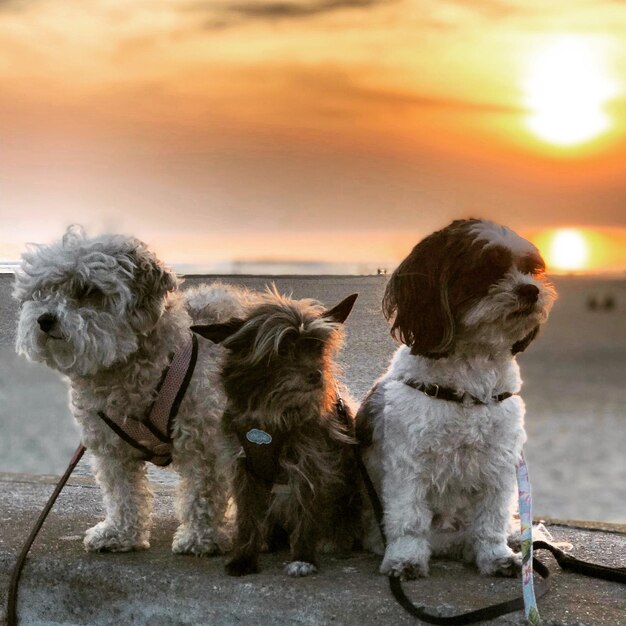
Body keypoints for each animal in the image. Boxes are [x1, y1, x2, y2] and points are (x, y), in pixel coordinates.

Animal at [14, 224, 258, 552]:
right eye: (42, 291)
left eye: (87, 290)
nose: (44, 319)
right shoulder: (112, 448)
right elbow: (122, 493)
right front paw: (120, 533)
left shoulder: (204, 441)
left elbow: (202, 491)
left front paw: (200, 537)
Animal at [195, 290, 360, 576]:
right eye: (283, 349)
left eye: (316, 347)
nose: (316, 375)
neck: (273, 413)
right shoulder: (243, 469)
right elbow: (247, 518)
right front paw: (244, 557)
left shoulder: (312, 464)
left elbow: (308, 513)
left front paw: (303, 558)